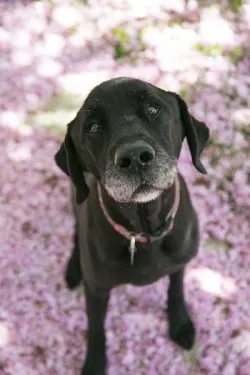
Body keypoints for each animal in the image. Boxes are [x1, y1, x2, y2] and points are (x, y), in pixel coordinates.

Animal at [54, 77, 209, 375]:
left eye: (153, 109)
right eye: (93, 127)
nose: (135, 156)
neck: (144, 228)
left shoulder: (180, 262)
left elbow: (176, 290)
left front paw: (180, 323)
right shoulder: (97, 290)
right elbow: (96, 329)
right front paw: (94, 363)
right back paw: (74, 267)